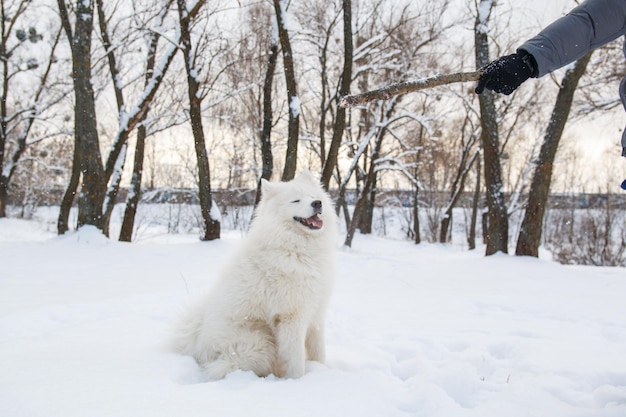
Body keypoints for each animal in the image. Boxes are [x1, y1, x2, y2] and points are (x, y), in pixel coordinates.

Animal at [171, 171, 336, 378]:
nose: (317, 203)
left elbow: (319, 352)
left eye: (313, 196)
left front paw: (322, 372)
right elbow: (296, 360)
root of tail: (197, 347)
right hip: (262, 342)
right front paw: (298, 380)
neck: (296, 249)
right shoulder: (291, 317)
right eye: (295, 200)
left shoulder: (316, 314)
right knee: (223, 367)